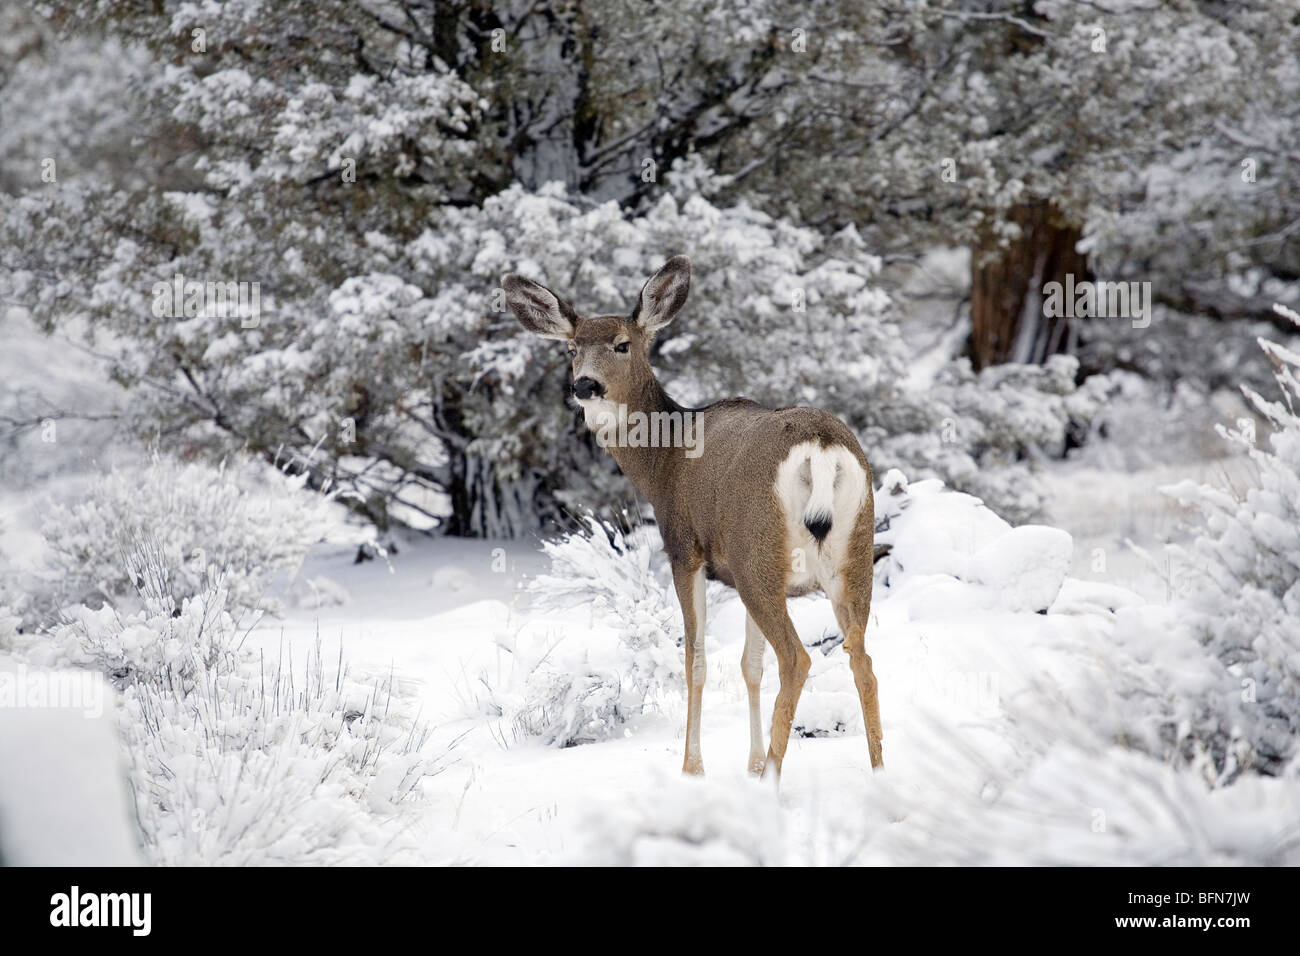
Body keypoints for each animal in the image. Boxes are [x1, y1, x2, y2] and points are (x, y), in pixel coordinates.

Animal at [503, 255, 882, 780]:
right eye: (571, 348)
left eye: (622, 344)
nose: (585, 386)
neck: (665, 461)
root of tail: (821, 449)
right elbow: (750, 664)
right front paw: (749, 761)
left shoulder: (684, 549)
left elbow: (696, 662)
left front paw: (694, 767)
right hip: (851, 554)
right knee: (862, 660)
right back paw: (878, 774)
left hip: (757, 552)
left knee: (797, 659)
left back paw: (773, 779)